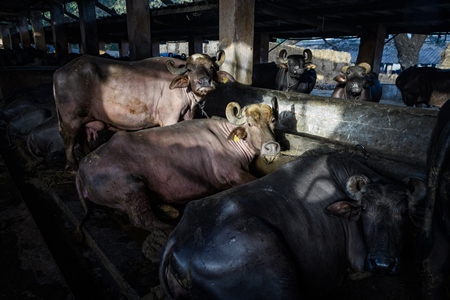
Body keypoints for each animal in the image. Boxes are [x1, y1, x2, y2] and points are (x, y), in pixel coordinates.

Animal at [52, 50, 236, 170]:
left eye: (211, 67)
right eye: (190, 69)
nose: (205, 82)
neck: (186, 97)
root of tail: (60, 71)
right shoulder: (169, 118)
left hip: (83, 117)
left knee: (82, 136)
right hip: (70, 118)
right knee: (68, 138)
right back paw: (71, 165)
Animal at [75, 99, 280, 241]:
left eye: (273, 121)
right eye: (250, 124)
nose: (271, 147)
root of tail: (82, 167)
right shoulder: (231, 172)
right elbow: (253, 180)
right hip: (130, 186)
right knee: (141, 218)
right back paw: (169, 227)